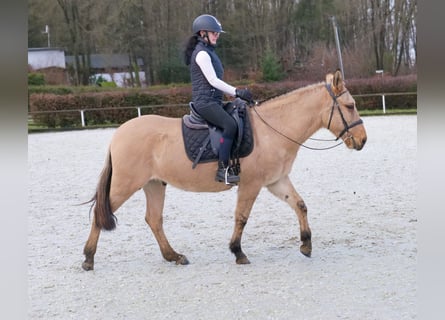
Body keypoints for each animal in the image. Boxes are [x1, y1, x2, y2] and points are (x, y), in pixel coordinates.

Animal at [81, 69, 366, 270]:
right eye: (350, 106)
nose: (362, 140)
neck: (272, 129)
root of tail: (118, 133)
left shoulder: (276, 181)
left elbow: (300, 205)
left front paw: (306, 245)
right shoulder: (251, 184)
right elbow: (241, 217)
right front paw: (238, 252)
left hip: (153, 184)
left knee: (154, 219)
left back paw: (174, 256)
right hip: (125, 185)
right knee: (99, 214)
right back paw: (88, 258)